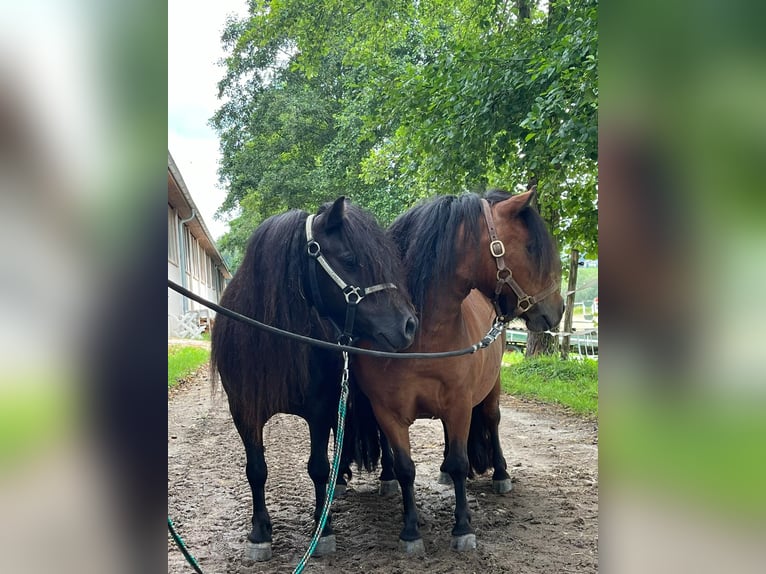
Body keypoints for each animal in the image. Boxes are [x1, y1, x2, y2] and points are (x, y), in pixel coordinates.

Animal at [212, 197, 420, 564]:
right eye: (350, 259)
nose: (409, 324)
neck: (275, 338)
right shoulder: (244, 412)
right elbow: (256, 469)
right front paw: (259, 532)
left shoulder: (319, 410)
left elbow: (318, 467)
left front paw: (323, 530)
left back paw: (385, 477)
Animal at [352, 189, 564, 552]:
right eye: (530, 247)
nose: (558, 309)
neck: (422, 339)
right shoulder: (388, 413)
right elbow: (406, 468)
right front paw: (411, 531)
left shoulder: (461, 405)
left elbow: (461, 463)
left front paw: (462, 527)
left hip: (491, 389)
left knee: (491, 422)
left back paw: (501, 475)